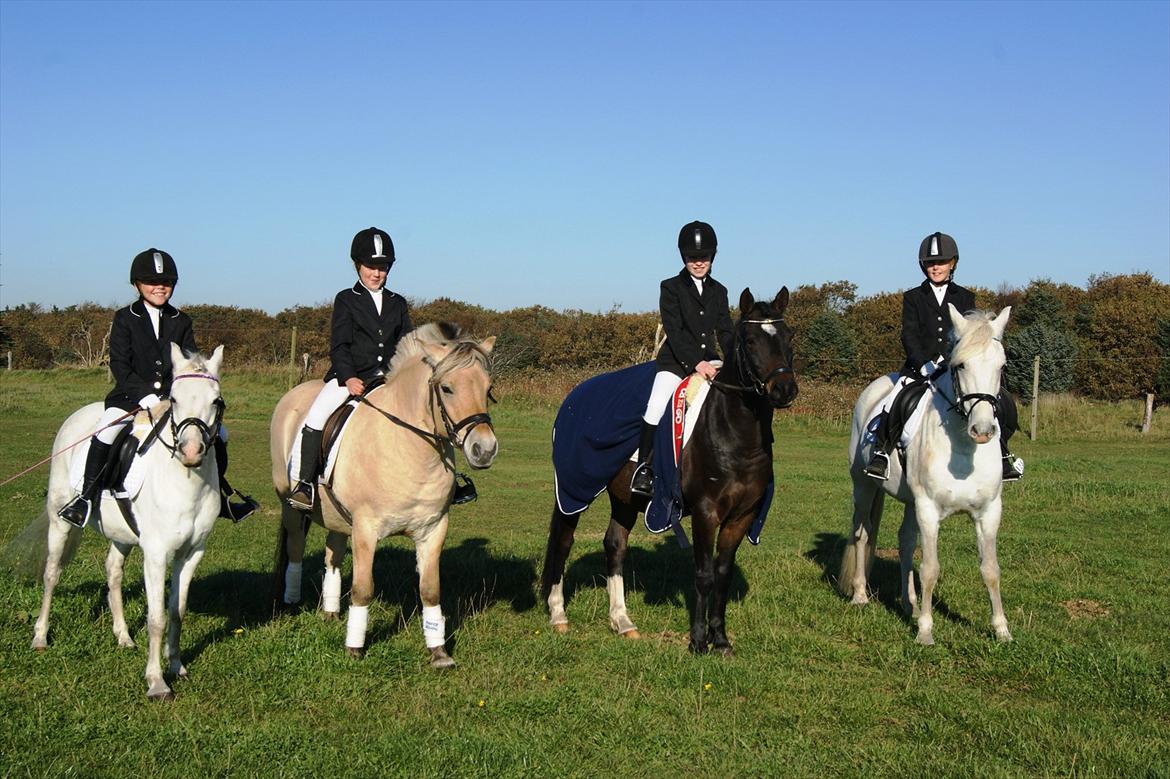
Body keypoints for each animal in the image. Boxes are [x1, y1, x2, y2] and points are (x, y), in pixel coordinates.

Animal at [32, 343, 228, 697]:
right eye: (173, 399)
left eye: (216, 401)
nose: (191, 451)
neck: (185, 481)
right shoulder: (156, 554)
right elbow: (157, 618)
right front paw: (156, 681)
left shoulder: (192, 554)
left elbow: (176, 612)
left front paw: (176, 666)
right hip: (59, 521)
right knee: (52, 574)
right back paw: (40, 636)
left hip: (122, 534)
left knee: (113, 571)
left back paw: (123, 636)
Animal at [271, 320, 496, 669]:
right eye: (447, 389)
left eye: (488, 389)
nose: (484, 450)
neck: (411, 448)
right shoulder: (366, 528)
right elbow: (364, 589)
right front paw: (354, 648)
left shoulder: (434, 529)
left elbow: (430, 590)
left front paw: (439, 652)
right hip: (291, 506)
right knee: (295, 548)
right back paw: (292, 601)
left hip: (338, 517)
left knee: (333, 555)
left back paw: (331, 611)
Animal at [542, 287, 800, 650]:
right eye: (750, 341)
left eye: (788, 336)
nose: (785, 389)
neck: (734, 433)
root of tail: (575, 396)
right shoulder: (706, 513)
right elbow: (704, 575)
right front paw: (698, 641)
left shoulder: (741, 516)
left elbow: (722, 575)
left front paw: (720, 639)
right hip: (573, 488)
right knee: (563, 543)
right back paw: (558, 615)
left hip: (624, 498)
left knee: (614, 546)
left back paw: (622, 621)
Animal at [842, 304, 1015, 640]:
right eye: (960, 365)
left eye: (1001, 367)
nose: (983, 430)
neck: (963, 451)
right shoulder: (929, 509)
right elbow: (930, 569)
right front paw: (925, 631)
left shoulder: (989, 512)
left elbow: (991, 569)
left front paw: (1002, 629)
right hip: (864, 487)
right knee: (862, 533)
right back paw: (860, 595)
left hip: (910, 502)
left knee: (906, 541)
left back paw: (908, 604)